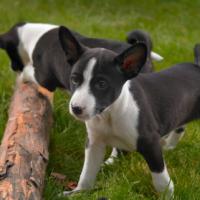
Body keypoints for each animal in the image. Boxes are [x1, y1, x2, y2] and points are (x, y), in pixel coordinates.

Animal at [59, 26, 200, 198]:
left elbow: (161, 180)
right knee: (180, 126)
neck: (110, 113)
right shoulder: (94, 143)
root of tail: (197, 65)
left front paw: (168, 196)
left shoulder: (150, 143)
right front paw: (79, 192)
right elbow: (87, 173)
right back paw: (168, 146)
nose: (76, 108)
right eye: (74, 79)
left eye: (101, 84)